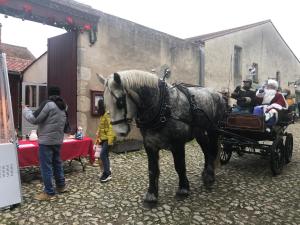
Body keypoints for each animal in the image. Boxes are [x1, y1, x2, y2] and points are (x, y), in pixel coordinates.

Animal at [97, 69, 226, 203]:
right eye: (104, 103)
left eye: (120, 102)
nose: (119, 132)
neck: (163, 106)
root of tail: (218, 94)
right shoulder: (150, 144)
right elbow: (152, 169)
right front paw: (151, 194)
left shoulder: (178, 144)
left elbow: (179, 166)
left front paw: (183, 189)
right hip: (199, 132)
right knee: (206, 150)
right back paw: (206, 174)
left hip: (213, 130)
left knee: (212, 150)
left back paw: (210, 176)